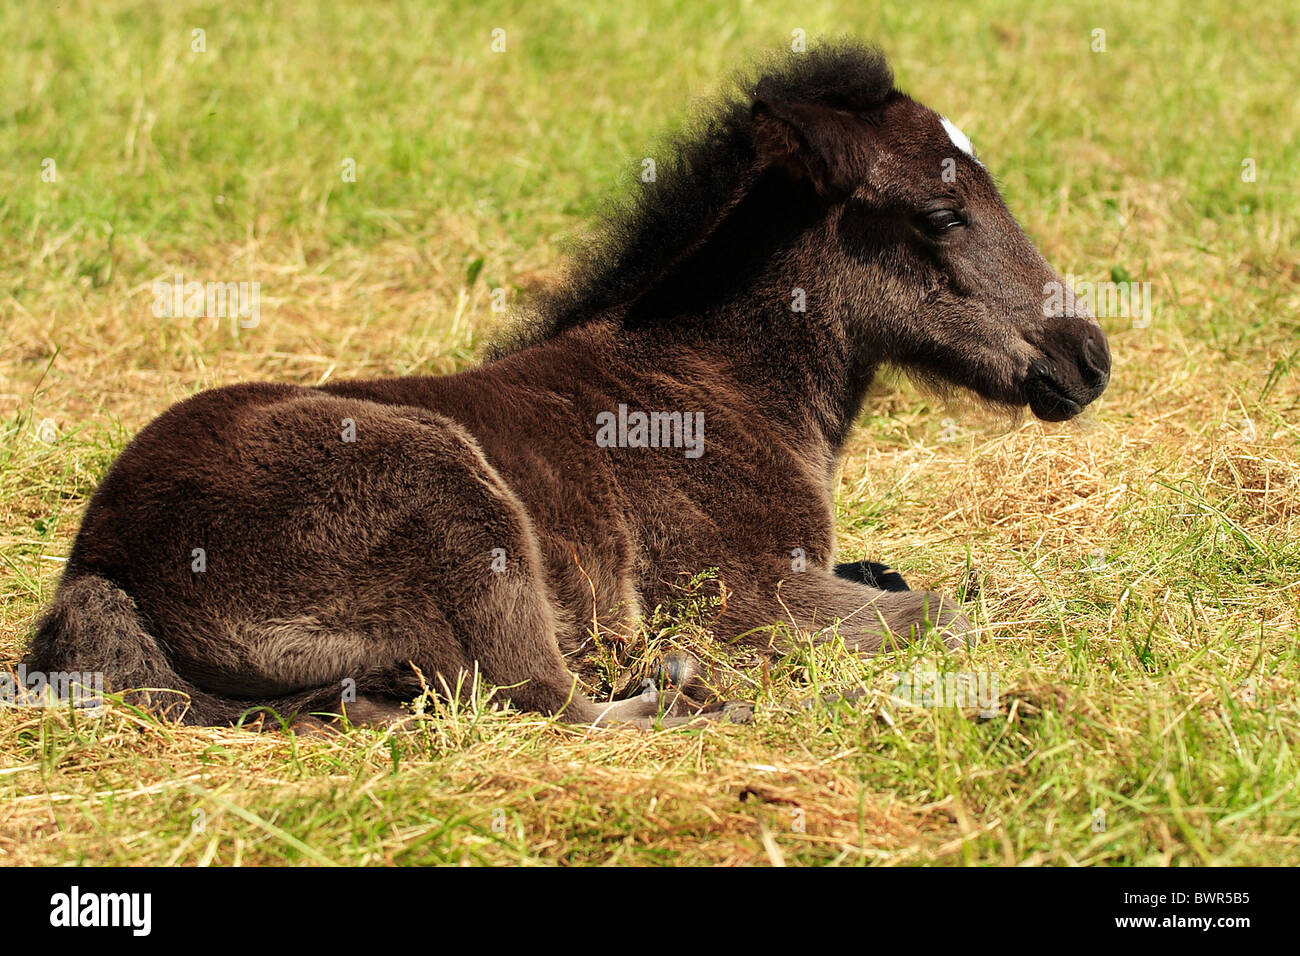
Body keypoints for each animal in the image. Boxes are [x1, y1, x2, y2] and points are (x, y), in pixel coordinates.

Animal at [25, 41, 1107, 728]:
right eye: (940, 214)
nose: (1085, 355)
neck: (711, 384)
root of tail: (102, 562)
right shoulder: (746, 595)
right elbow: (947, 609)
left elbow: (918, 580)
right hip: (459, 513)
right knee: (554, 706)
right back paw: (700, 689)